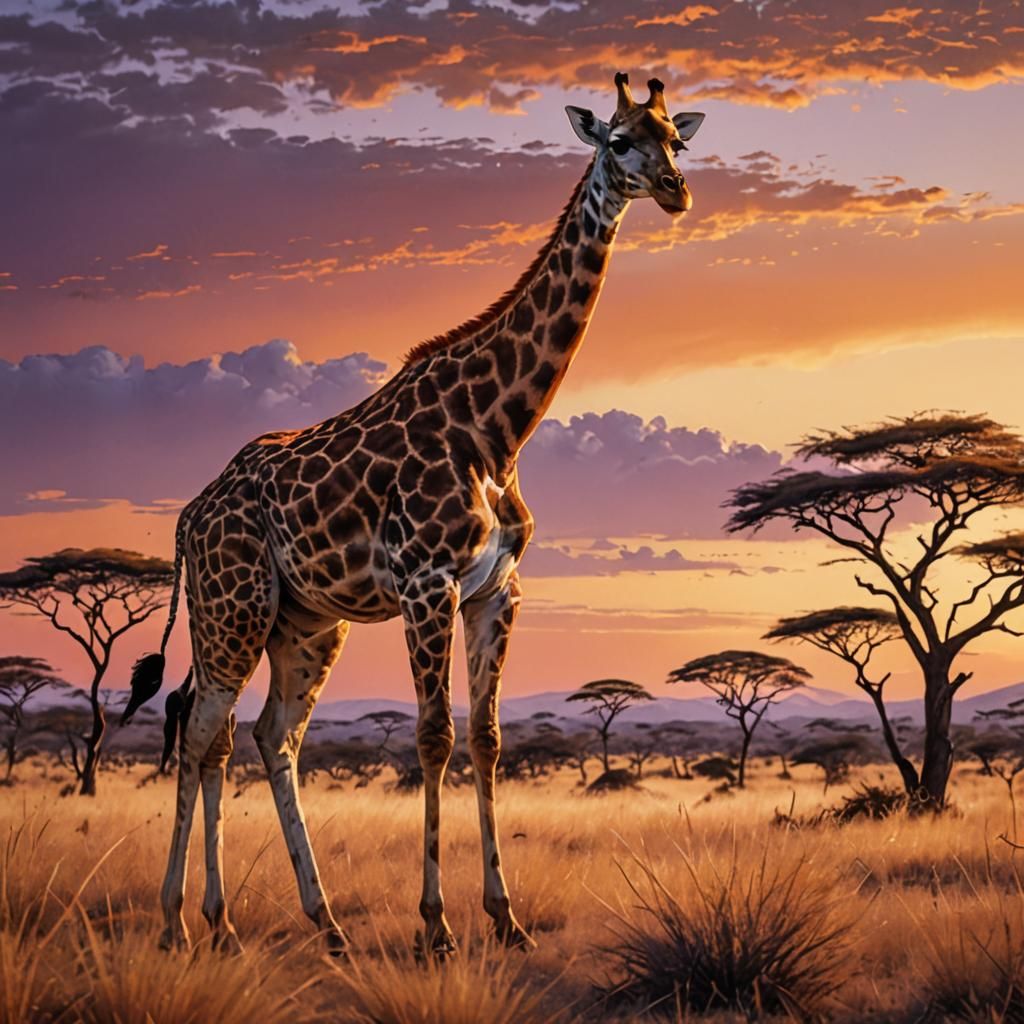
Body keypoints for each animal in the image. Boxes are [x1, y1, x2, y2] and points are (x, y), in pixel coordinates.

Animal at [123, 72, 704, 958]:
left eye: (675, 137)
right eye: (618, 141)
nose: (675, 189)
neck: (498, 428)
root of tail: (190, 516)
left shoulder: (497, 591)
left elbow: (488, 739)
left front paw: (507, 918)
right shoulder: (428, 583)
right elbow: (433, 737)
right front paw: (437, 926)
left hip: (303, 622)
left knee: (262, 735)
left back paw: (301, 921)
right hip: (232, 609)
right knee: (198, 728)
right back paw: (180, 924)